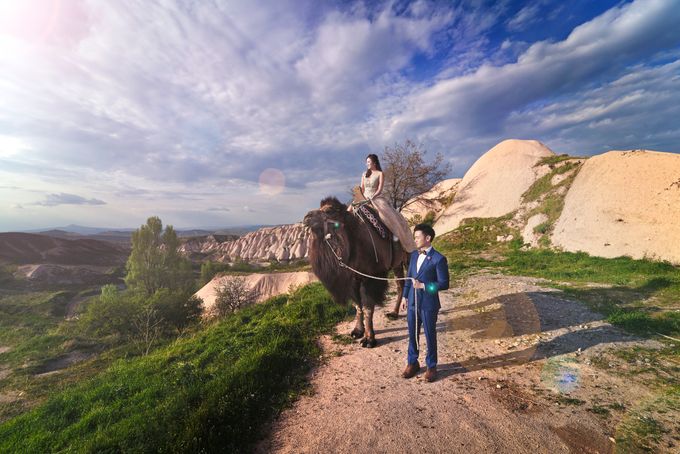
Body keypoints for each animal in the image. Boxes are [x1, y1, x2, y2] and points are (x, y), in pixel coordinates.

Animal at [304, 196, 410, 348]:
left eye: (329, 211)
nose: (306, 217)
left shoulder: (372, 276)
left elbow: (368, 306)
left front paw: (369, 339)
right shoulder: (353, 278)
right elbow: (357, 305)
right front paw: (357, 331)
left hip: (408, 255)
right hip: (397, 263)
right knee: (400, 285)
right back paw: (393, 313)